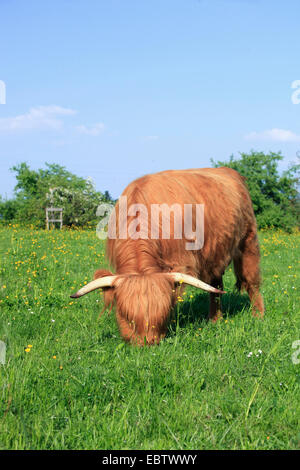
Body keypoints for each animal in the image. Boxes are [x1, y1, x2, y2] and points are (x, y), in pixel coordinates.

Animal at [71, 169, 264, 346]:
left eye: (162, 314)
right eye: (125, 315)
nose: (147, 342)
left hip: (248, 242)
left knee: (252, 281)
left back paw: (258, 315)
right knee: (216, 287)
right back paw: (215, 319)